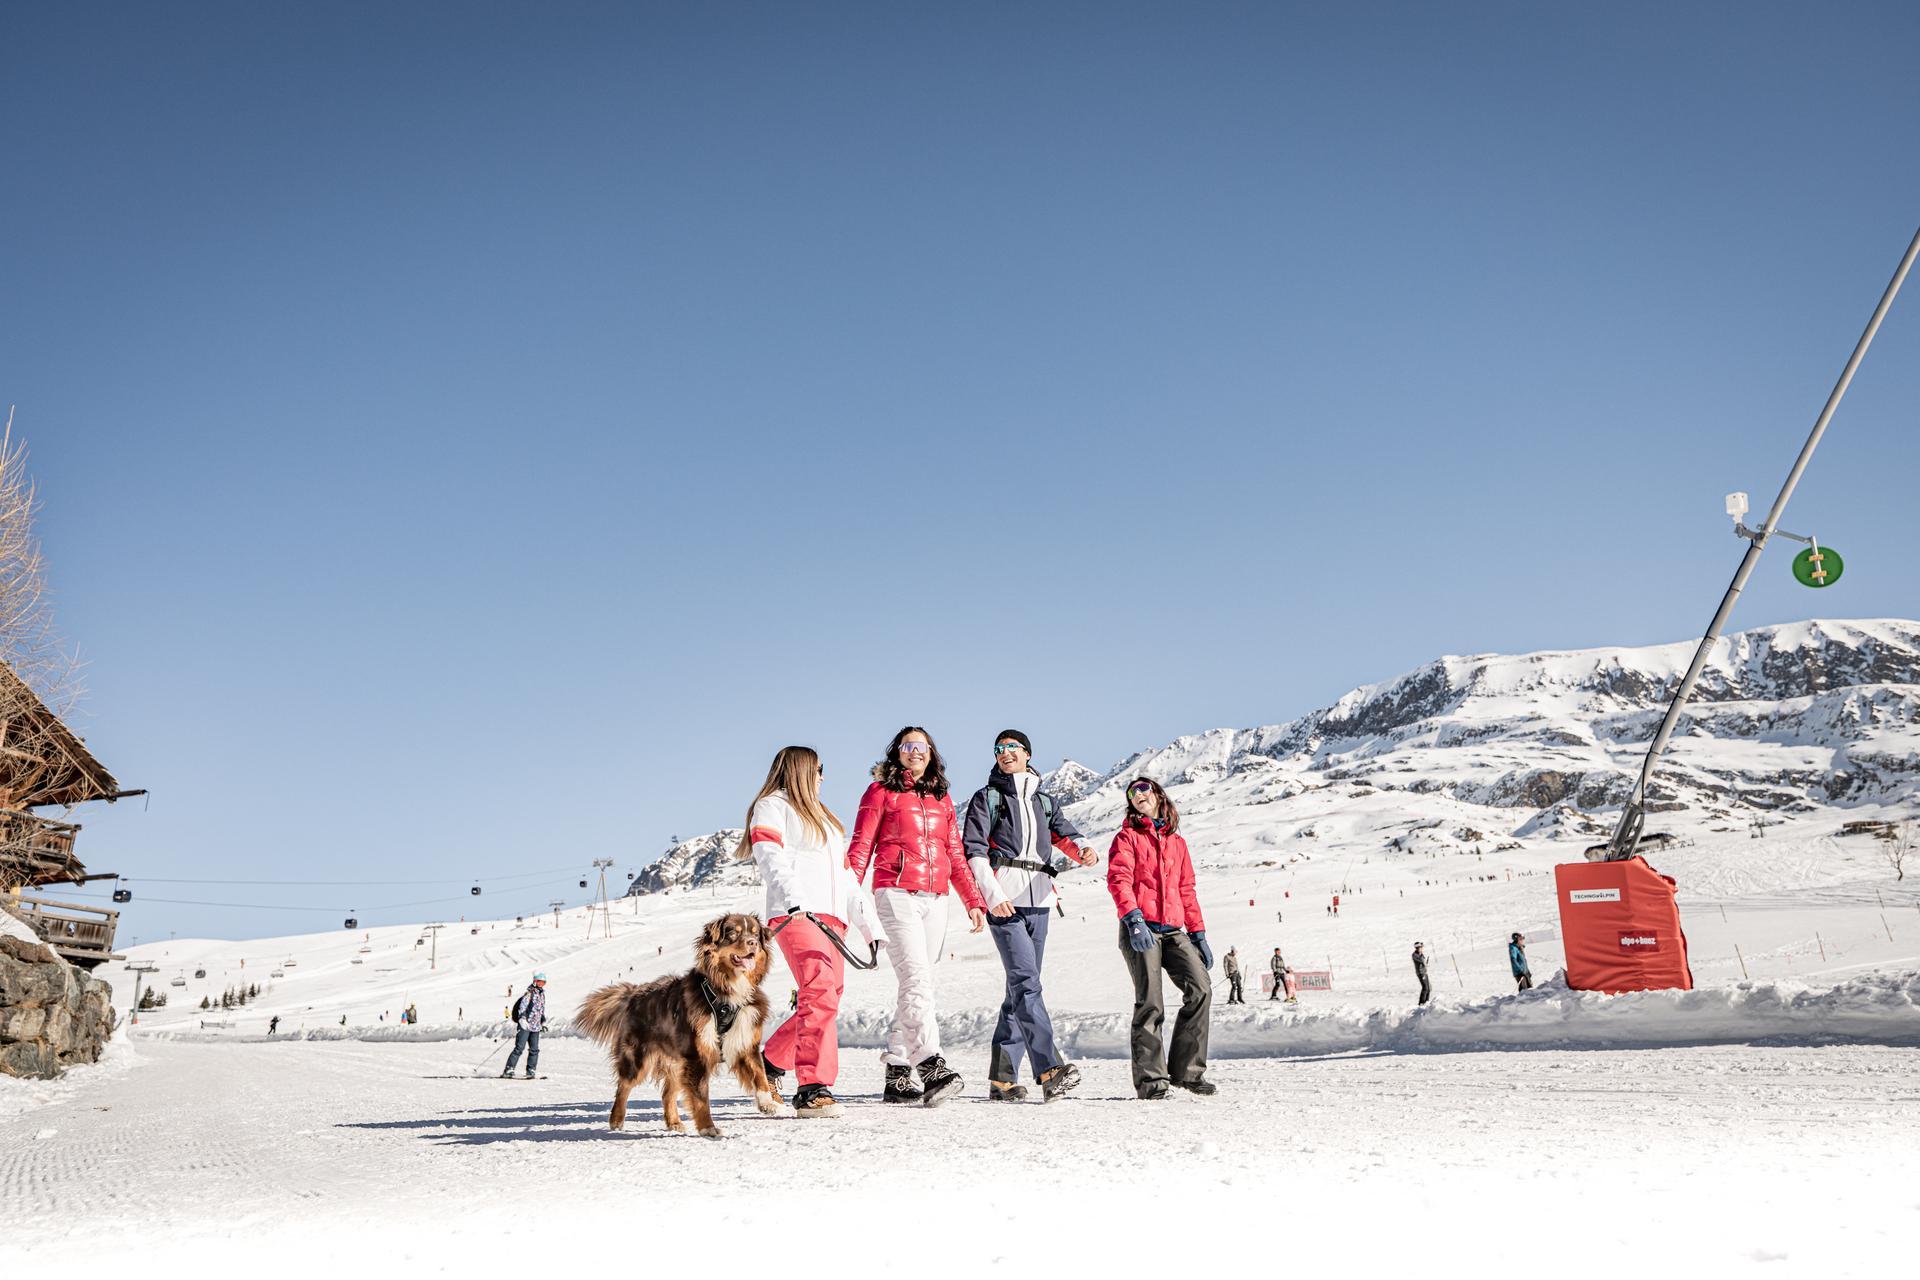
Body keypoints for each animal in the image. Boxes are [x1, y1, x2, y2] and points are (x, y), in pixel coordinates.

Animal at [572, 909, 783, 1143]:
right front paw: (708, 1128)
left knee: (667, 1093)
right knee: (624, 1085)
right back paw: (616, 1119)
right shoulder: (697, 1052)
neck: (726, 993)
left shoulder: (745, 1041)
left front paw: (768, 1104)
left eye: (755, 933)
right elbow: (700, 1096)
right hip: (639, 1057)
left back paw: (673, 1122)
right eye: (733, 934)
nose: (752, 943)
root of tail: (634, 994)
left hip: (676, 1060)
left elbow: (759, 1075)